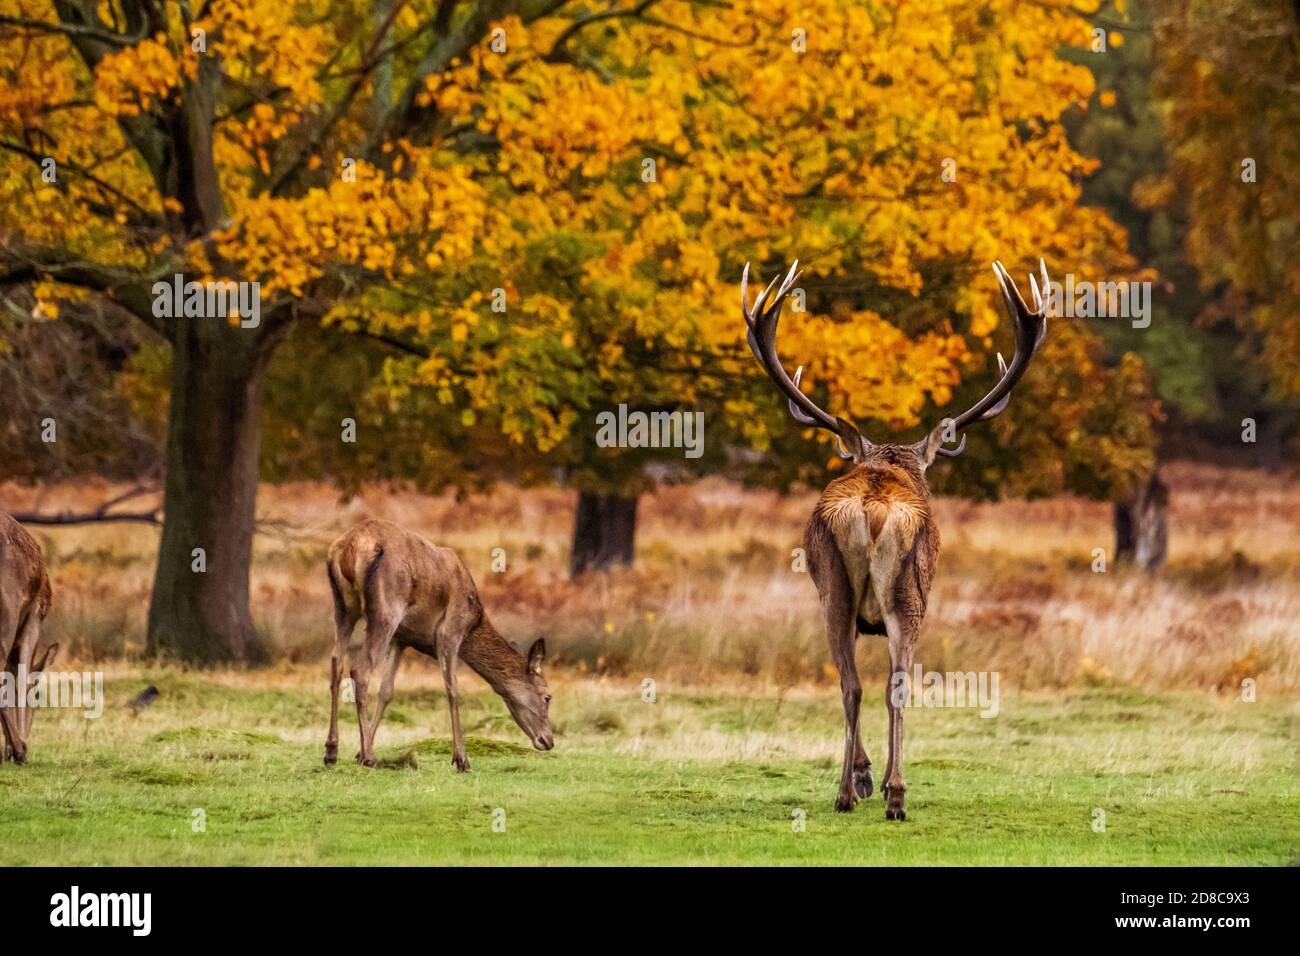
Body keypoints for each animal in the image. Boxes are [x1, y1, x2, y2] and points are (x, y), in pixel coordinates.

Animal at [325, 520, 553, 775]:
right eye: (547, 697)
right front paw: (462, 759)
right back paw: (368, 757)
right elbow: (453, 689)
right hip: (386, 610)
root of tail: (348, 549)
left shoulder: (401, 638)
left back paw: (332, 751)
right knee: (360, 669)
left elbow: (387, 691)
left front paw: (356, 752)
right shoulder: (449, 632)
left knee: (336, 661)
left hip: (343, 607)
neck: (473, 622)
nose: (548, 741)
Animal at [743, 257, 1045, 816]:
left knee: (850, 683)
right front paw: (882, 781)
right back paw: (896, 795)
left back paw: (845, 791)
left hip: (831, 590)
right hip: (909, 595)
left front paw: (864, 776)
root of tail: (871, 508)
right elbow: (897, 685)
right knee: (896, 684)